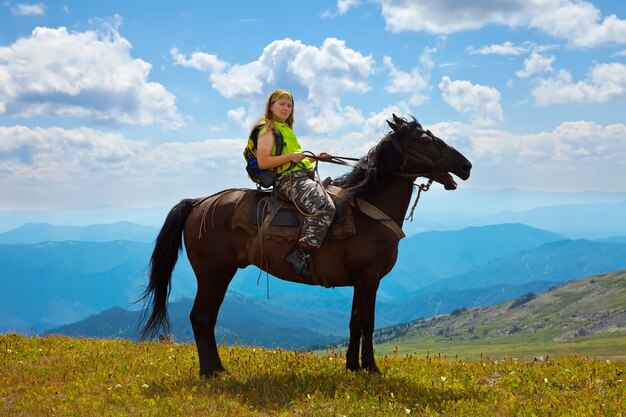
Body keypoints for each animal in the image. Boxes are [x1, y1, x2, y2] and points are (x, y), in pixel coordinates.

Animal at [139, 115, 470, 376]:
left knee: (208, 319)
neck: (369, 208)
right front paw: (372, 368)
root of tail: (199, 202)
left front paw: (353, 366)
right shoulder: (369, 277)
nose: (466, 165)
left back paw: (218, 369)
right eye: (425, 139)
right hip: (212, 274)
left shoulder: (359, 281)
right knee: (200, 317)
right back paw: (210, 372)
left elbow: (353, 321)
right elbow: (367, 321)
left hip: (221, 274)